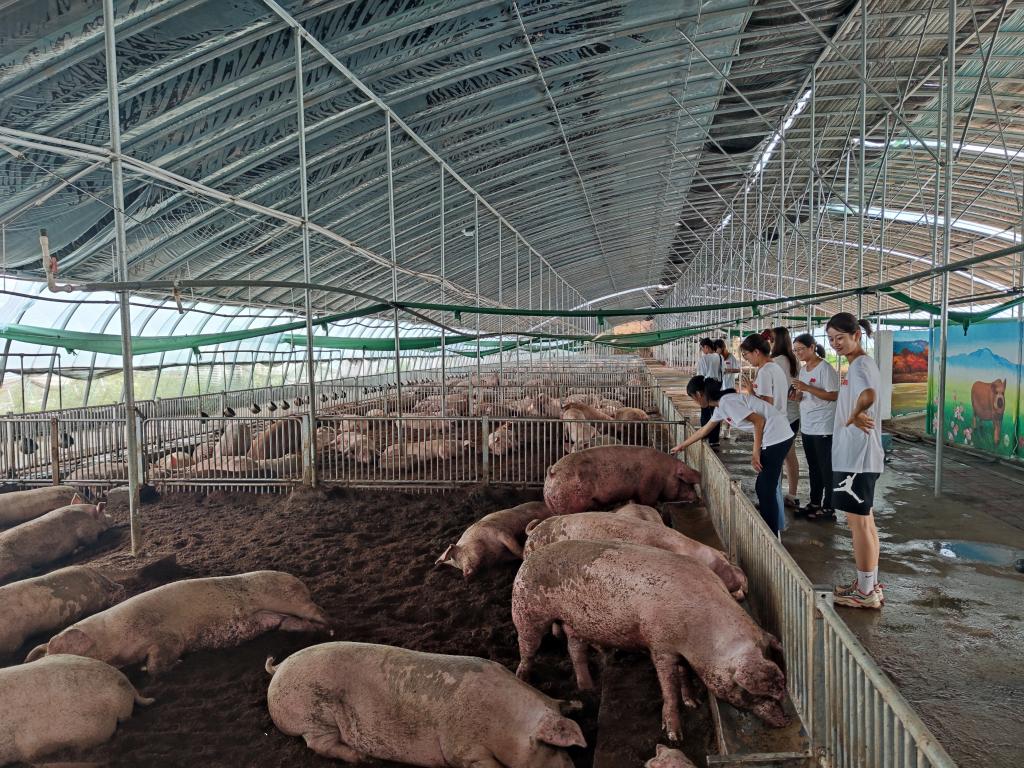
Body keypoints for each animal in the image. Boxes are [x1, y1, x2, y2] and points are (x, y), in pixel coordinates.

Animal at [26, 571, 330, 673]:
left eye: (61, 650)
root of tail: (297, 580)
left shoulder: (167, 636)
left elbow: (157, 663)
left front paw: (176, 664)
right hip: (280, 617)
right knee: (294, 624)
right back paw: (316, 631)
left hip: (289, 599)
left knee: (317, 609)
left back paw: (329, 629)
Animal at [265, 642, 585, 766]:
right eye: (550, 746)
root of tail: (278, 669)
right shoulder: (461, 748)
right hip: (312, 717)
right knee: (318, 745)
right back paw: (365, 759)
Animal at [513, 540, 788, 738]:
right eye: (757, 694)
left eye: (782, 688)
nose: (784, 721)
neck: (701, 636)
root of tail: (529, 559)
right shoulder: (660, 644)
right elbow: (668, 686)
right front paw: (674, 736)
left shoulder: (682, 651)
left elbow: (685, 674)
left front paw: (693, 702)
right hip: (526, 609)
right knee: (527, 647)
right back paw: (522, 679)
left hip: (573, 622)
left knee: (575, 648)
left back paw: (588, 688)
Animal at [543, 446, 700, 516]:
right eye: (687, 483)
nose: (697, 499)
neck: (666, 473)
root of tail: (552, 474)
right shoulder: (649, 486)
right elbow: (648, 502)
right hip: (571, 501)